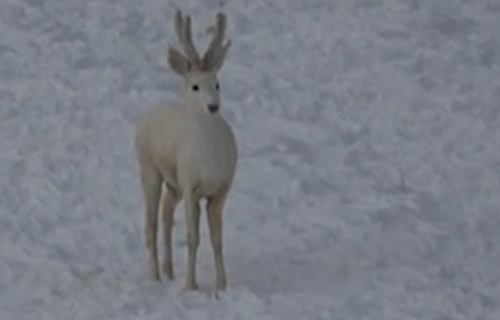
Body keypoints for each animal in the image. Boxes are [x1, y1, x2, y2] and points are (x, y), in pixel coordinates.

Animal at [134, 10, 237, 292]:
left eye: (217, 83)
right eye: (195, 86)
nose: (213, 106)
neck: (210, 159)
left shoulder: (222, 189)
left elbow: (217, 239)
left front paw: (222, 286)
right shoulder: (191, 186)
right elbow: (193, 238)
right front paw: (191, 285)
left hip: (174, 183)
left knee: (167, 210)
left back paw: (169, 270)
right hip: (149, 169)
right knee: (151, 223)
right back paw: (155, 276)